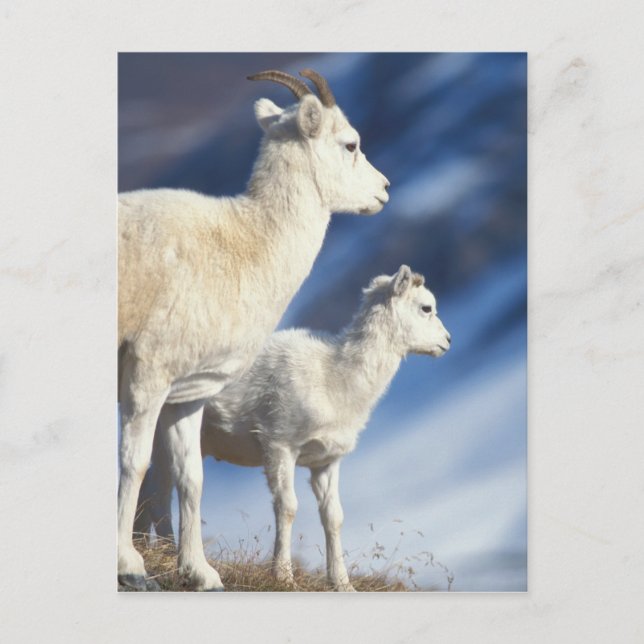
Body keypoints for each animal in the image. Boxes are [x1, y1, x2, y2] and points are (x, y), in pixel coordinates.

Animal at [118, 69, 390, 591]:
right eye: (350, 144)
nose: (384, 190)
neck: (246, 243)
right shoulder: (148, 378)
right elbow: (133, 464)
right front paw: (130, 564)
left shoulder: (187, 395)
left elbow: (190, 478)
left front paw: (201, 574)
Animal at [136, 265, 451, 591]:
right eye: (426, 307)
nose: (447, 341)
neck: (335, 376)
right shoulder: (280, 447)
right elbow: (287, 507)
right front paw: (283, 575)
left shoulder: (325, 463)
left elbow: (333, 517)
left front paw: (342, 583)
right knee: (159, 492)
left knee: (154, 487)